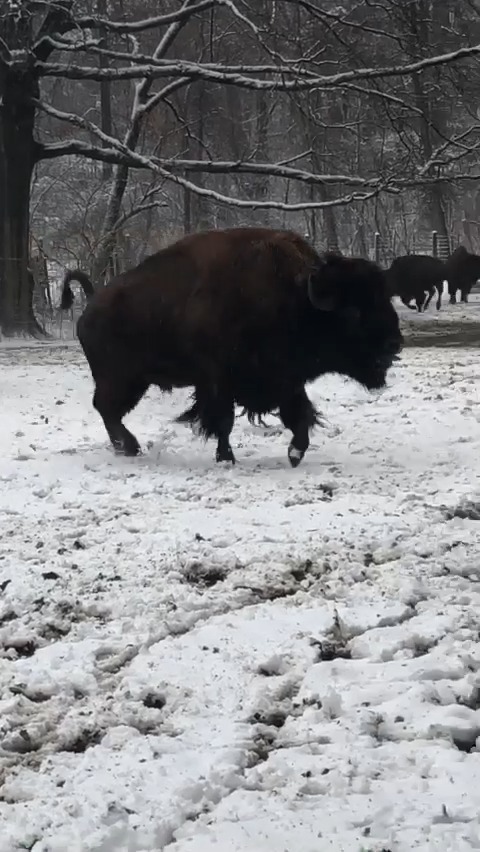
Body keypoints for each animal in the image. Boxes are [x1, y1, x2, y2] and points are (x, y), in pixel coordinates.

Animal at [60, 227, 402, 468]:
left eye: (384, 298)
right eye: (353, 311)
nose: (394, 344)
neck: (296, 298)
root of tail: (92, 302)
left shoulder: (285, 380)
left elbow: (299, 416)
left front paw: (295, 454)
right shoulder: (219, 381)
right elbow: (223, 422)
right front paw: (227, 458)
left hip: (133, 381)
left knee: (108, 410)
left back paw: (128, 448)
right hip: (121, 379)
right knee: (106, 408)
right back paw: (129, 447)